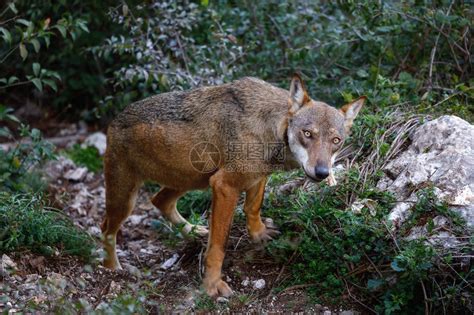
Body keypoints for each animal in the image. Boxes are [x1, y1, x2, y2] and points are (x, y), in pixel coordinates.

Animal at [102, 75, 364, 298]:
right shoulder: (225, 186)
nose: (322, 173)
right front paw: (212, 285)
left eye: (336, 141)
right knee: (106, 229)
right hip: (127, 200)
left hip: (193, 179)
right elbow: (218, 246)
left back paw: (194, 231)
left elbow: (253, 208)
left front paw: (259, 234)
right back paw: (112, 268)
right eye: (307, 134)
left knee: (160, 201)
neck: (272, 129)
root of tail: (114, 120)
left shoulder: (256, 177)